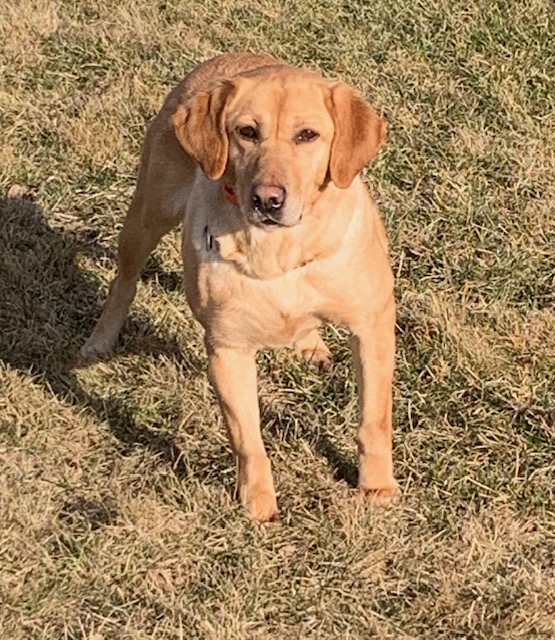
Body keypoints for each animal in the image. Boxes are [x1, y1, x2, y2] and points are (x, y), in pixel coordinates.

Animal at [80, 50, 398, 520]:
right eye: (247, 132)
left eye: (308, 135)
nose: (268, 199)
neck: (280, 250)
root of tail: (222, 58)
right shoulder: (228, 349)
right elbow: (248, 439)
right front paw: (258, 502)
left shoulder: (372, 324)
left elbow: (373, 419)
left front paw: (376, 486)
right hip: (147, 216)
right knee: (124, 280)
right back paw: (101, 339)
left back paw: (310, 345)